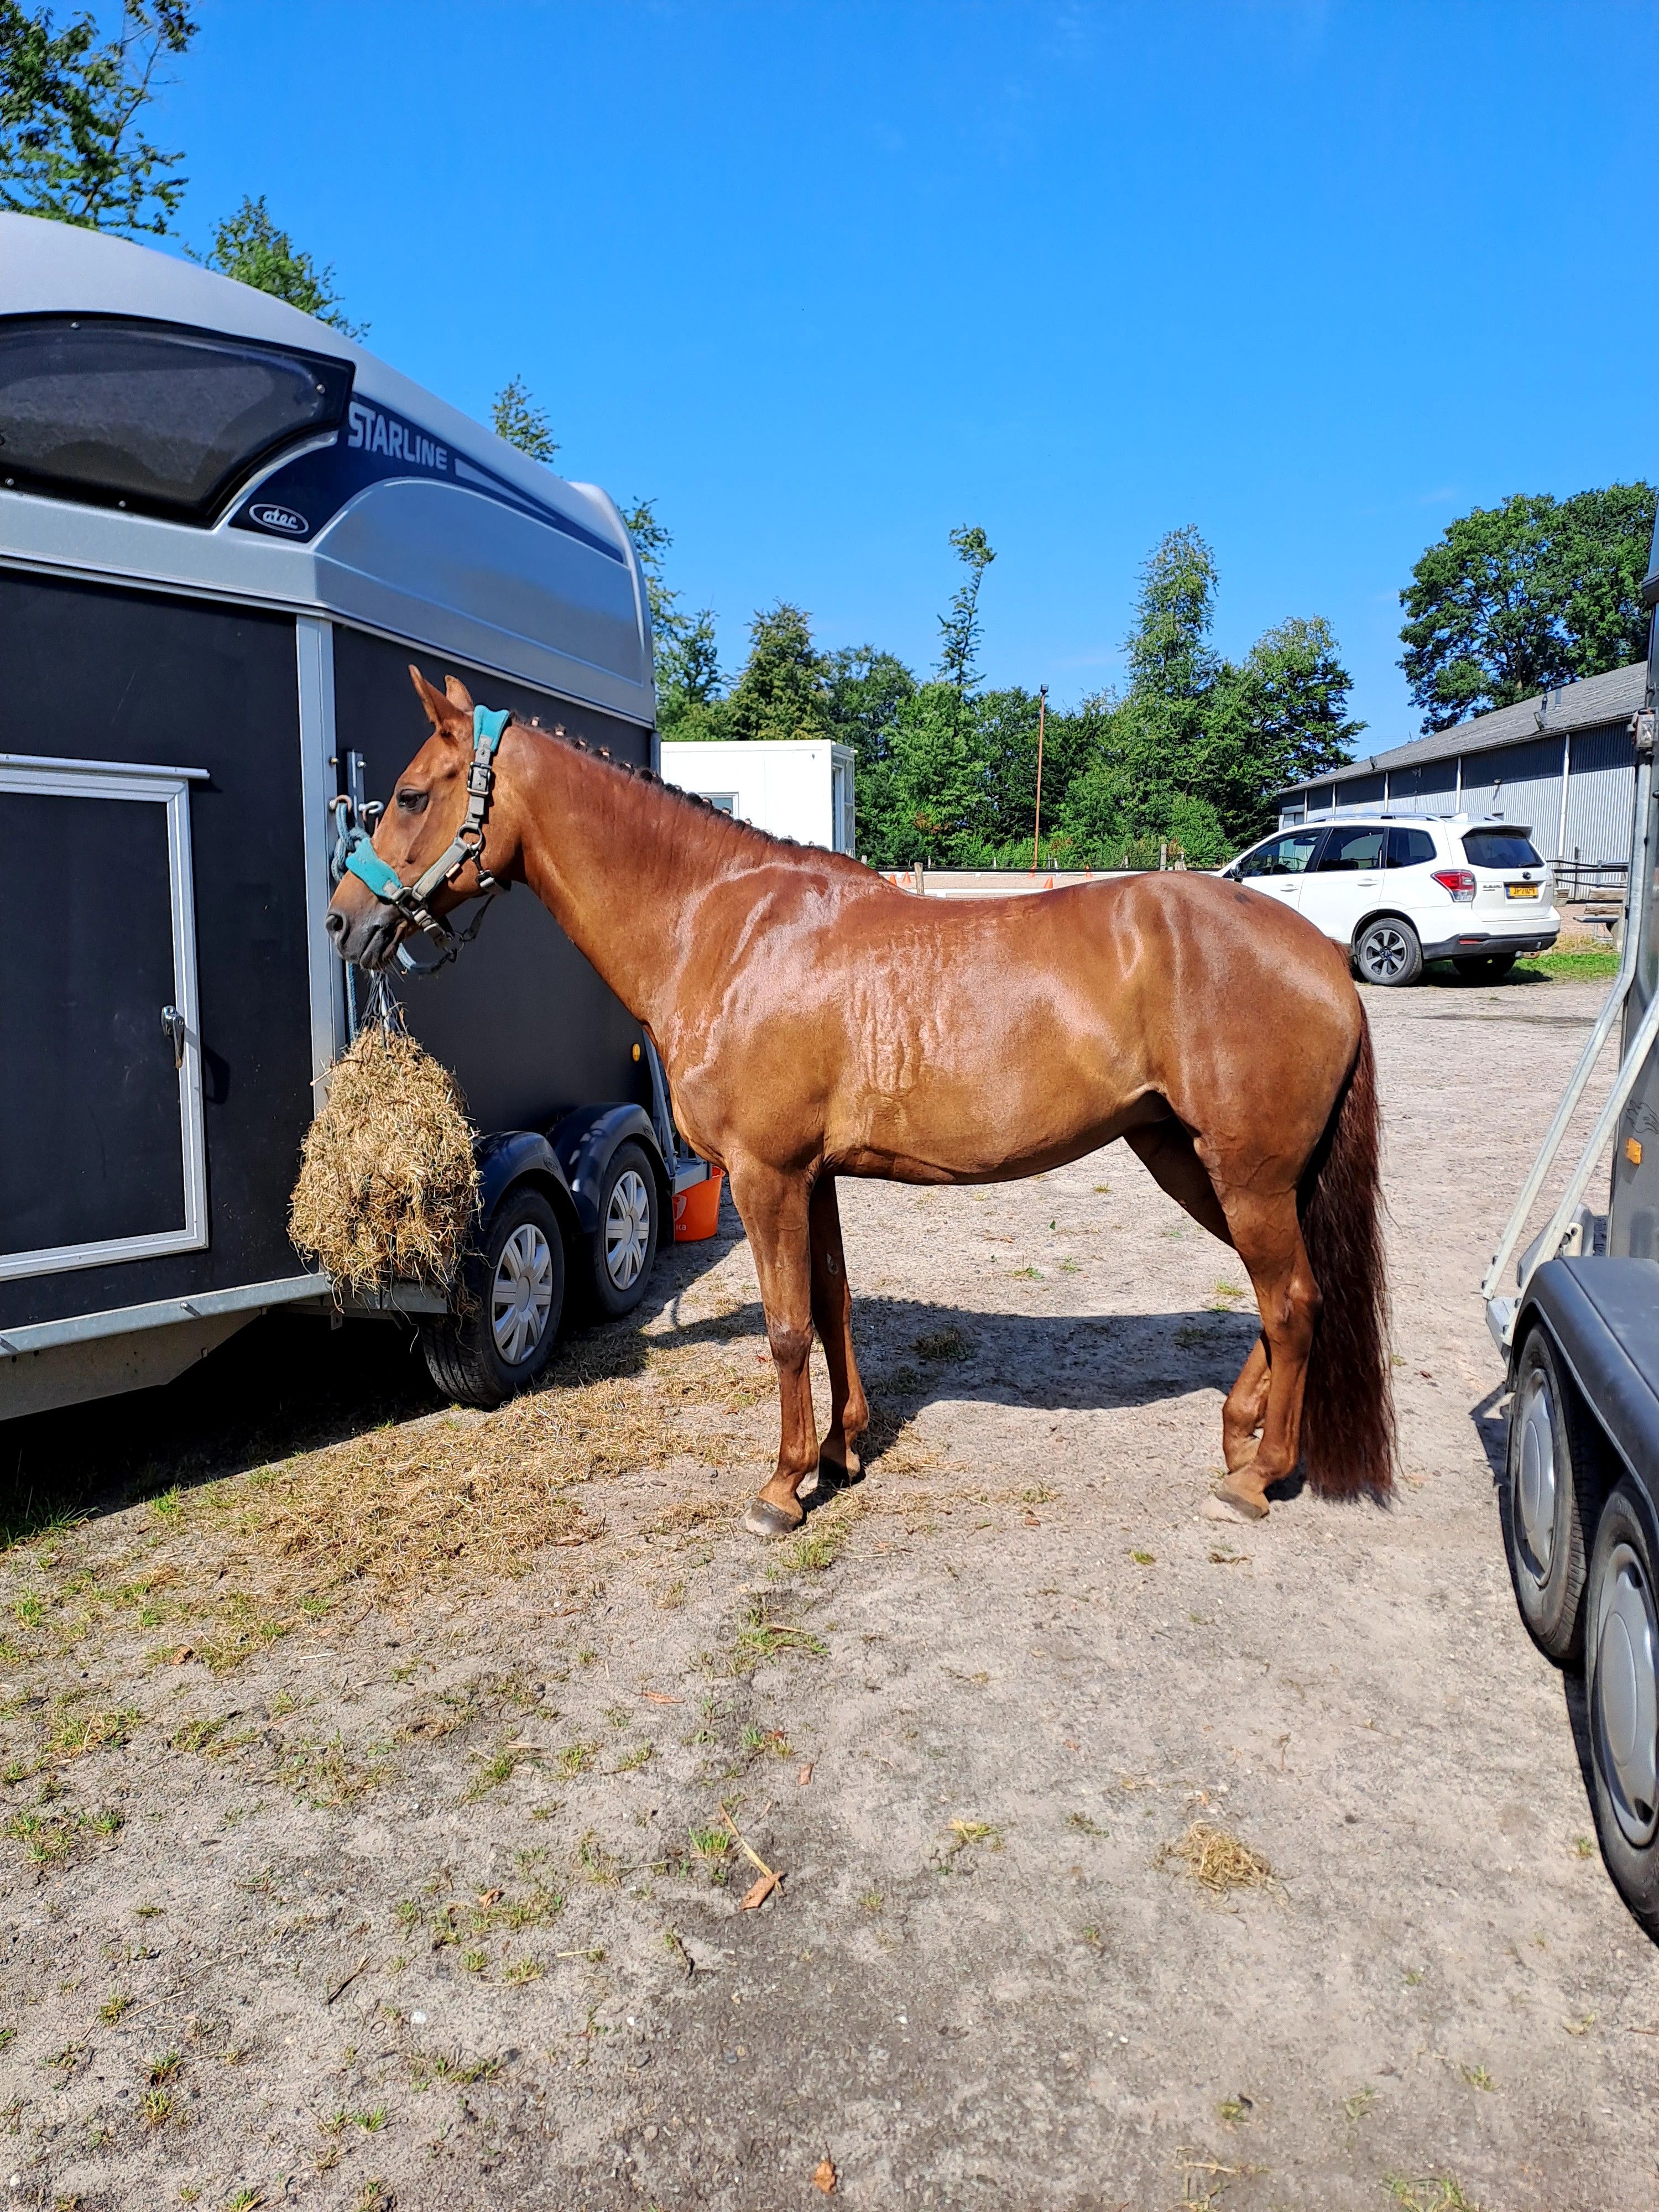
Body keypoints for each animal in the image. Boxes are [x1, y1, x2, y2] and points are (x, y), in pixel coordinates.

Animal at [326, 669, 1393, 1536]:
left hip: (1243, 1173)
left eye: (413, 795)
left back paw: (1255, 1477)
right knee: (1277, 1301)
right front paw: (841, 1452)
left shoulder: (766, 1175)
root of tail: (1323, 957)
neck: (726, 926)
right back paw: (1239, 1434)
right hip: (1190, 1158)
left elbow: (787, 1327)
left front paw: (780, 1487)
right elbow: (833, 1303)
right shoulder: (815, 1176)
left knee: (1293, 1302)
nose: (345, 920)